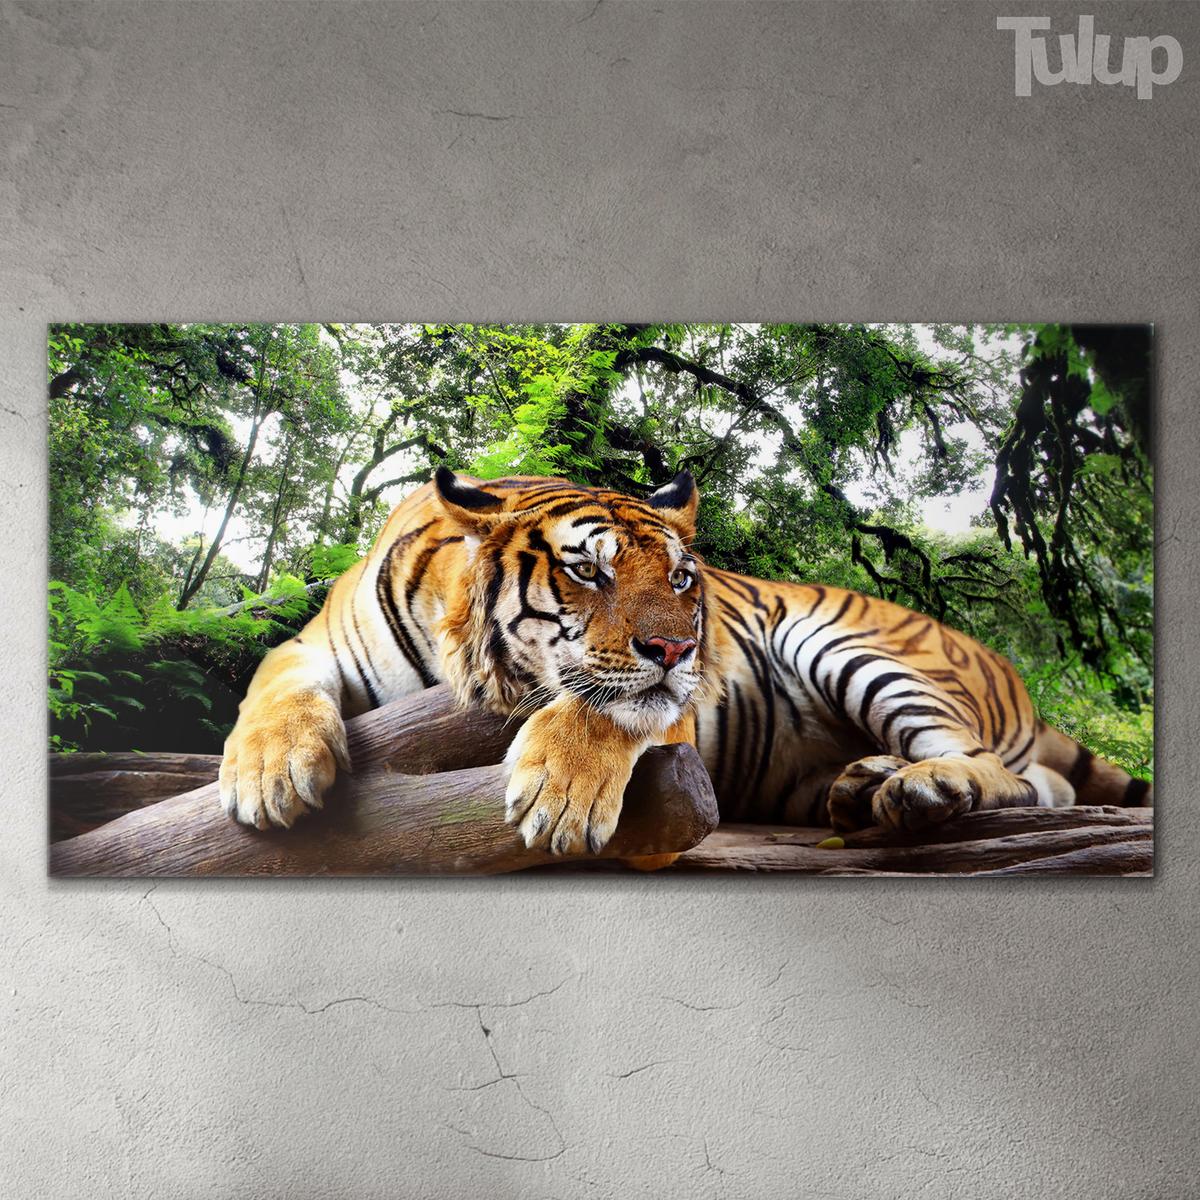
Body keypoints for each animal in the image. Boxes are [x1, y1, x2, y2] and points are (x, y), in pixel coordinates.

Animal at [218, 469, 1152, 854]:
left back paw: (921, 788)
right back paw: (863, 785)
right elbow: (273, 688)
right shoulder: (310, 645)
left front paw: (559, 797)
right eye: (588, 570)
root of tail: (1011, 670)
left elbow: (605, 706)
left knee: (1009, 775)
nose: (677, 647)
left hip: (848, 645)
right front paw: (270, 774)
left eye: (679, 578)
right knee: (1040, 782)